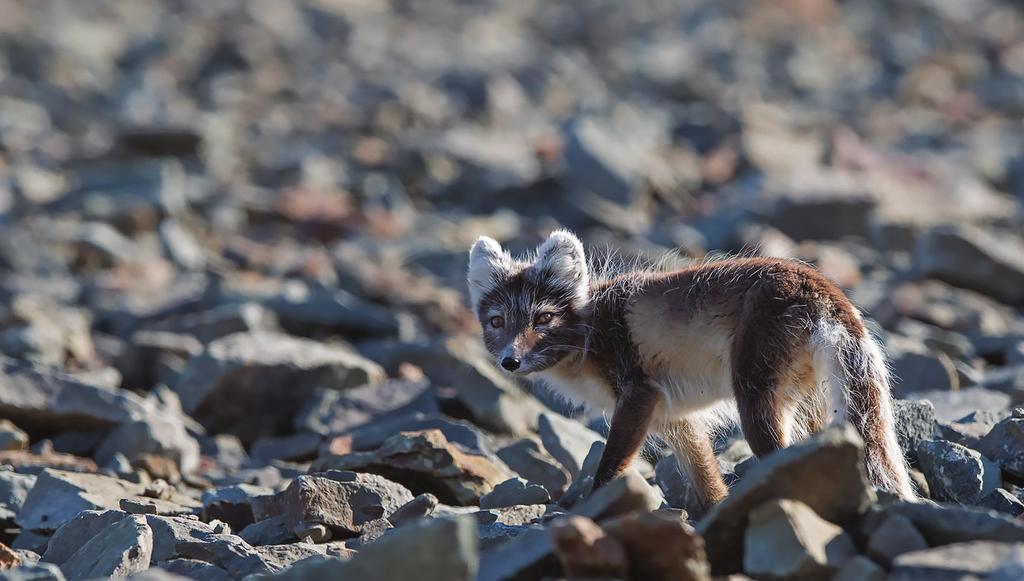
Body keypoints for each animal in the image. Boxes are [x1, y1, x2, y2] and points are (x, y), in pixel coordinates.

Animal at [468, 229, 917, 506]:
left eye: (543, 318)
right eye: (497, 322)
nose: (510, 360)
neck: (588, 334)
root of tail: (821, 286)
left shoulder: (637, 395)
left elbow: (610, 469)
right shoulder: (673, 419)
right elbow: (705, 476)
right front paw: (715, 512)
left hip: (755, 400)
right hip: (807, 403)